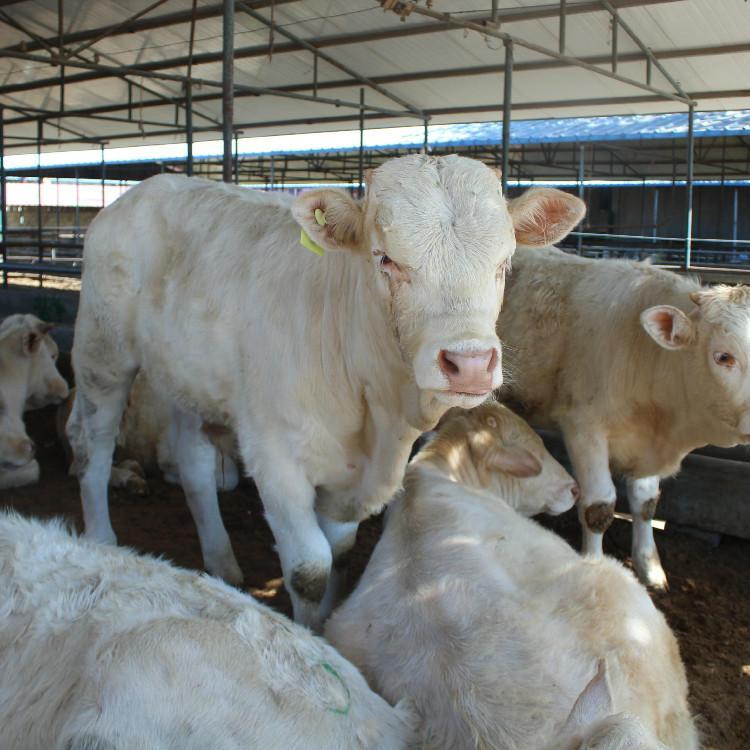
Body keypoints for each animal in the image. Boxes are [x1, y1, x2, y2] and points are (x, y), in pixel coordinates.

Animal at [69, 154, 588, 628]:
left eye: (505, 264)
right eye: (385, 259)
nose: (470, 363)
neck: (377, 411)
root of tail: (145, 190)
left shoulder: (356, 476)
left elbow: (339, 550)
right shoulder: (274, 452)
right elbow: (310, 569)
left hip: (187, 377)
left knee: (194, 464)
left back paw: (222, 563)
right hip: (102, 353)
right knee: (93, 444)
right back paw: (101, 539)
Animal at [500, 245, 750, 588]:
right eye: (724, 356)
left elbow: (646, 503)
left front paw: (650, 567)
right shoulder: (584, 427)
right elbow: (599, 506)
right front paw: (594, 566)